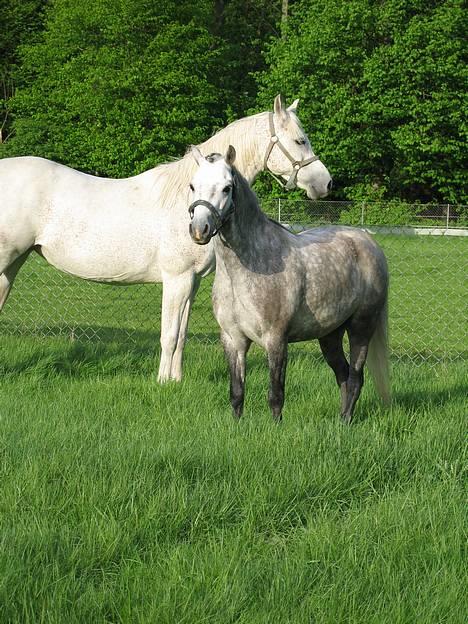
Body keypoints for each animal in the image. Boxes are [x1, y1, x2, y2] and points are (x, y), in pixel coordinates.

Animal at [0, 95, 332, 382]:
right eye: (300, 140)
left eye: (225, 187)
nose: (326, 183)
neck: (184, 202)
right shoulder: (177, 279)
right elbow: (169, 334)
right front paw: (162, 382)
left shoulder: (192, 282)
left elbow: (182, 334)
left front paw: (176, 380)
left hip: (13, 264)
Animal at [188, 144, 390, 422]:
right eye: (192, 186)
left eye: (227, 188)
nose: (200, 229)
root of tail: (369, 243)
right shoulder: (233, 339)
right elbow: (237, 392)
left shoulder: (276, 340)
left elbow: (276, 394)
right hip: (330, 335)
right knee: (343, 376)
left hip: (361, 327)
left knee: (355, 378)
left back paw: (346, 423)